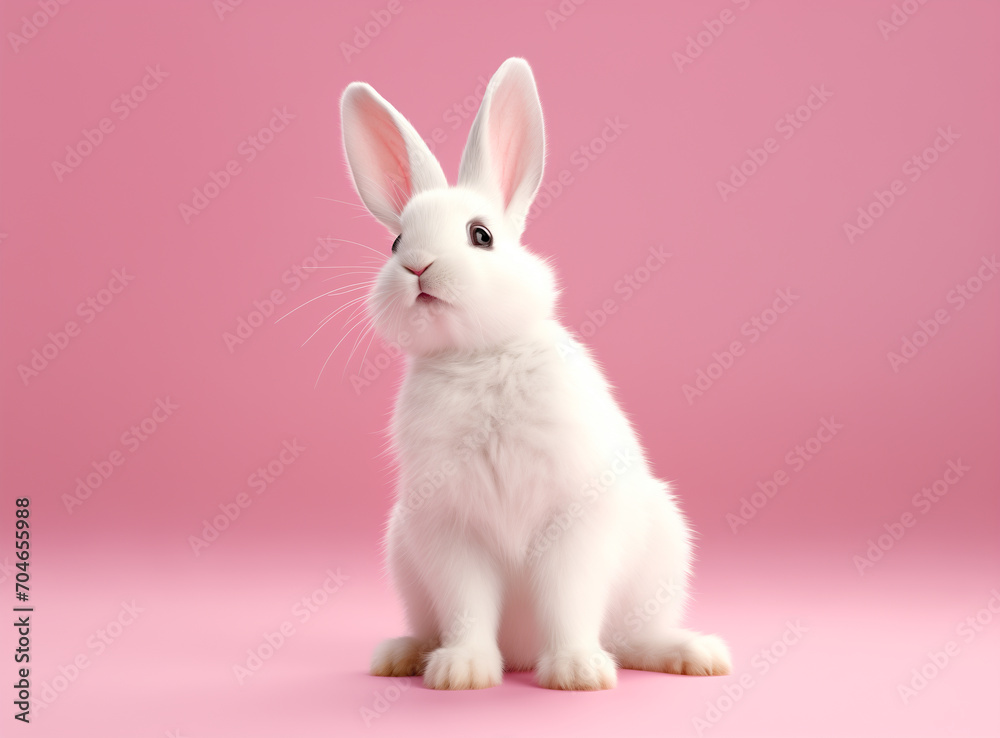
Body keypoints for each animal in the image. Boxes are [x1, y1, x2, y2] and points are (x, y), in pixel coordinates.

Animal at [340, 57, 731, 690]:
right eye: (396, 240)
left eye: (481, 235)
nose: (416, 266)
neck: (477, 355)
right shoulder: (451, 530)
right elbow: (467, 606)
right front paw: (462, 671)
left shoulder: (572, 519)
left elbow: (569, 600)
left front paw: (576, 671)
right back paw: (402, 655)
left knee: (632, 638)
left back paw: (694, 655)